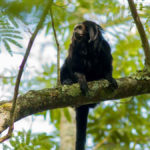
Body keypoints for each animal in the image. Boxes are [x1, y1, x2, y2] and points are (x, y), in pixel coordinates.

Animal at [59, 20, 117, 150]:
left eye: (80, 27)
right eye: (76, 28)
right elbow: (73, 67)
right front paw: (80, 78)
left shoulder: (104, 46)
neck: (86, 46)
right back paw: (67, 82)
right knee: (65, 64)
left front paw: (109, 77)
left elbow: (107, 66)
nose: (75, 30)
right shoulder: (73, 48)